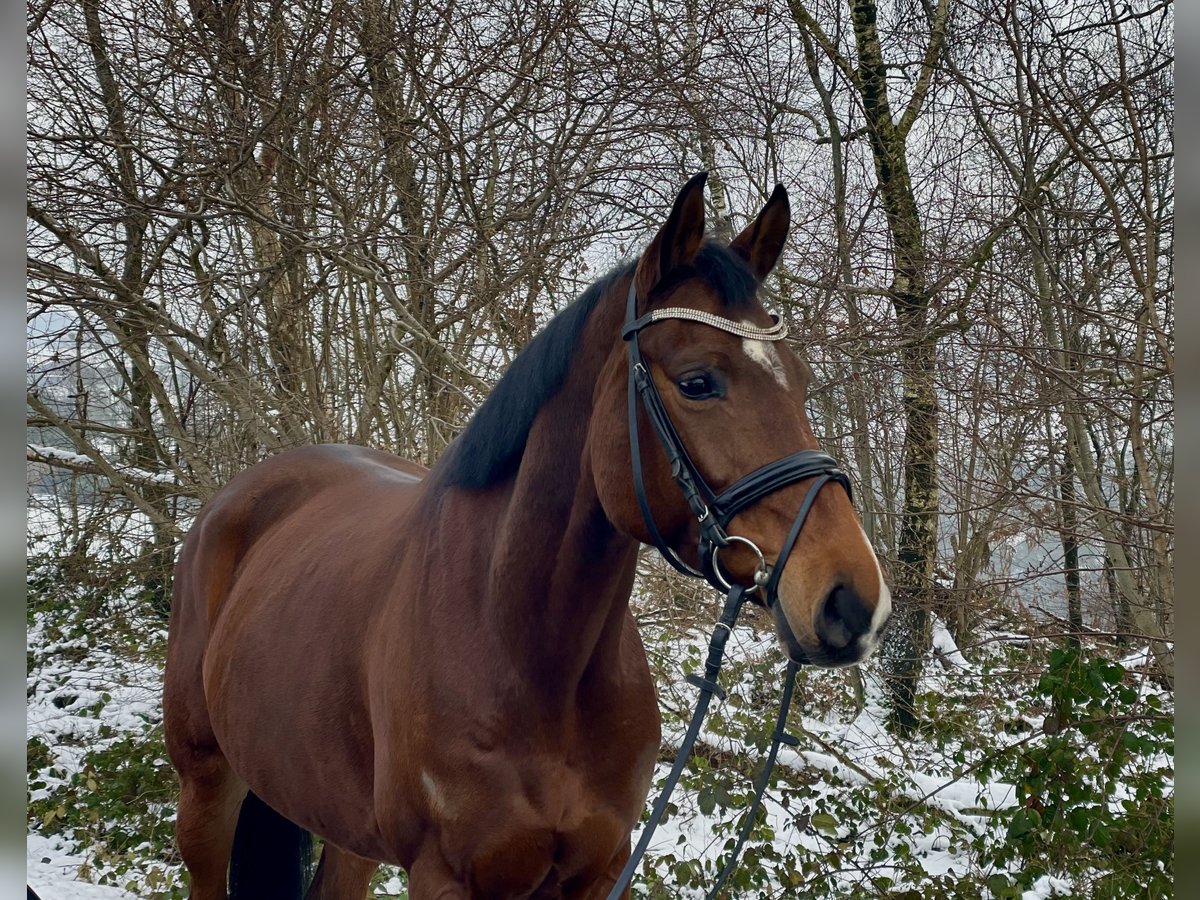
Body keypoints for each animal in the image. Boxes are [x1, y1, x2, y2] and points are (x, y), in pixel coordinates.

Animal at [162, 176, 892, 900]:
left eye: (801, 382)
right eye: (697, 382)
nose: (854, 602)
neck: (526, 654)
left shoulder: (595, 871)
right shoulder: (445, 877)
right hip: (206, 785)